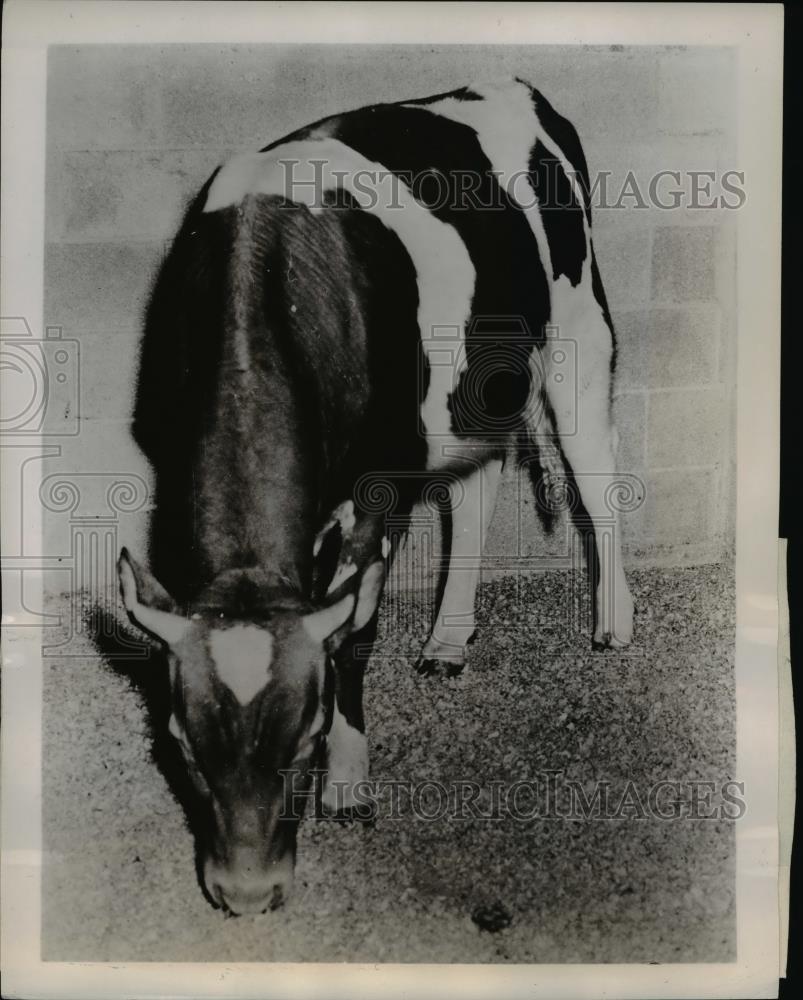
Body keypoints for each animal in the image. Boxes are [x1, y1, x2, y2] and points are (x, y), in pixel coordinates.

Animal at [119, 80, 636, 916]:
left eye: (305, 739)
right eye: (183, 747)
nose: (247, 895)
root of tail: (511, 85)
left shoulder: (379, 486)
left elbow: (355, 631)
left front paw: (349, 784)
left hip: (579, 330)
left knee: (598, 479)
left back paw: (613, 622)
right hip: (471, 385)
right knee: (477, 488)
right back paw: (448, 639)